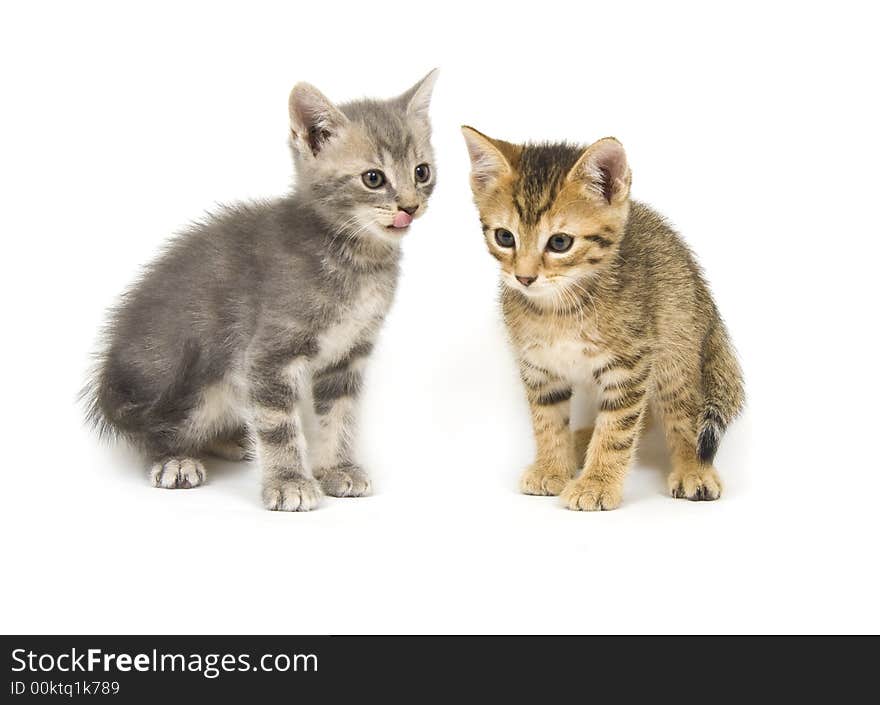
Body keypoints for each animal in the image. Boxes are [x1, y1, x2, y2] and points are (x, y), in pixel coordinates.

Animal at [84, 71, 438, 508]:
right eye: (374, 178)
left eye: (421, 171)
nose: (410, 206)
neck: (353, 254)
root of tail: (108, 381)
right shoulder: (268, 353)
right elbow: (278, 424)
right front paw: (289, 482)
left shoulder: (347, 355)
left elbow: (338, 416)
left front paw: (337, 469)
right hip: (190, 375)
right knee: (152, 429)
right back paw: (175, 459)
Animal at [460, 126, 744, 508]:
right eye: (505, 237)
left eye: (560, 243)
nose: (524, 277)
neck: (559, 308)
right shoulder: (539, 367)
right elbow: (547, 420)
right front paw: (552, 466)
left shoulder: (631, 364)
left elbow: (618, 429)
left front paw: (597, 483)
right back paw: (578, 443)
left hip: (675, 351)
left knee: (684, 415)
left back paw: (693, 469)